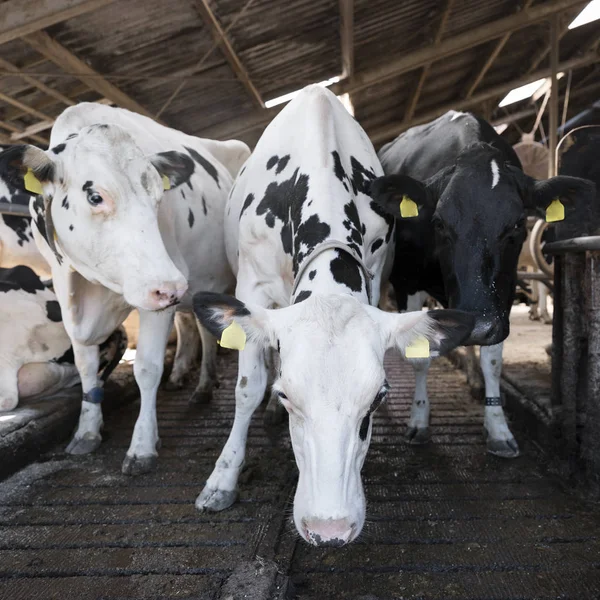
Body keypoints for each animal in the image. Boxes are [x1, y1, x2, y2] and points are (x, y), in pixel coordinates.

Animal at [192, 85, 474, 548]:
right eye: (288, 395)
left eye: (377, 398)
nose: (329, 529)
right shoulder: (251, 287)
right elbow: (248, 388)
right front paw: (222, 478)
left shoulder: (374, 276)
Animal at [370, 110, 596, 458]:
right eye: (438, 222)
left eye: (518, 223)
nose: (479, 324)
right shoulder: (407, 282)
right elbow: (420, 356)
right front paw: (419, 420)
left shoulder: (502, 295)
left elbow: (493, 360)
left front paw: (498, 428)